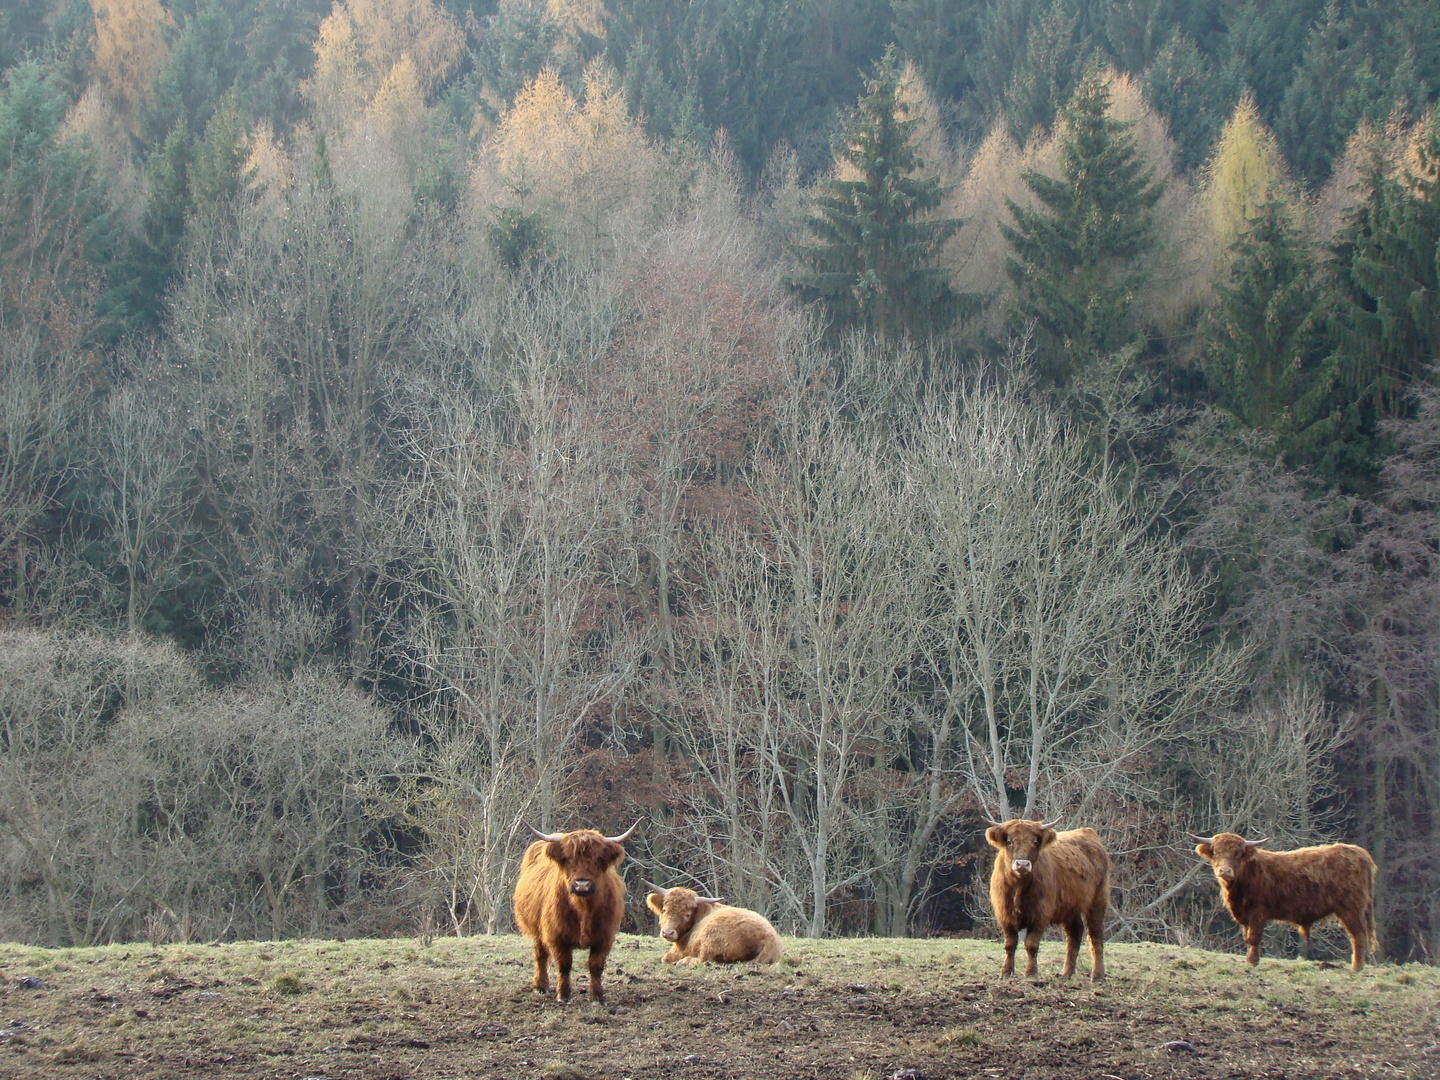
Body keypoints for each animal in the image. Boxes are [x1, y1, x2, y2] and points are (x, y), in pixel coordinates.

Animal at [512, 817, 636, 1008]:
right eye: (569, 859)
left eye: (597, 858)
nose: (582, 885)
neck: (583, 909)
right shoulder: (556, 936)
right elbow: (564, 965)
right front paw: (563, 995)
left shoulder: (604, 937)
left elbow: (596, 966)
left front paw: (597, 998)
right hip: (537, 930)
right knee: (540, 955)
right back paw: (540, 986)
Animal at [645, 881, 783, 967]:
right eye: (664, 910)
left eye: (687, 914)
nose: (667, 933)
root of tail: (769, 937)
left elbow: (666, 957)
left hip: (710, 940)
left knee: (704, 959)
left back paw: (684, 961)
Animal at [984, 817, 1105, 984]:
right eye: (1009, 841)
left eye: (1035, 842)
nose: (1022, 864)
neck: (1018, 888)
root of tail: (1088, 831)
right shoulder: (1004, 914)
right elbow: (1010, 944)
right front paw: (1006, 973)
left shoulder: (1040, 914)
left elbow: (1031, 944)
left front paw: (1031, 974)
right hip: (1070, 908)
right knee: (1075, 933)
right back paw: (1065, 974)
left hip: (1097, 900)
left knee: (1095, 935)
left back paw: (1097, 976)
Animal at [1186, 835, 1376, 979]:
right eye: (1216, 852)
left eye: (1237, 853)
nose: (1225, 871)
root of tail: (1361, 853)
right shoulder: (1245, 916)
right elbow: (1247, 938)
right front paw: (1249, 960)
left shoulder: (1258, 913)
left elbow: (1254, 938)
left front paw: (1253, 962)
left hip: (1351, 908)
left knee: (1358, 936)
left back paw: (1356, 968)